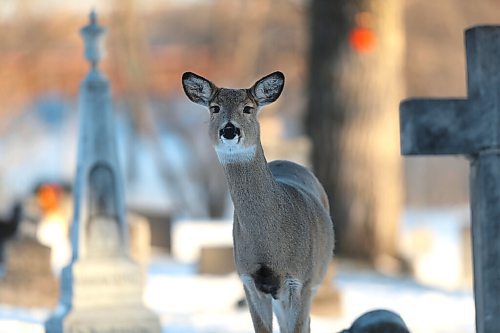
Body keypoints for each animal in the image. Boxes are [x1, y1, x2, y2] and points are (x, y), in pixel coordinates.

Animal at [182, 72, 334, 332]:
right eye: (215, 108)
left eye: (248, 108)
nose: (229, 129)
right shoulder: (249, 281)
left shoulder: (300, 281)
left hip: (315, 280)